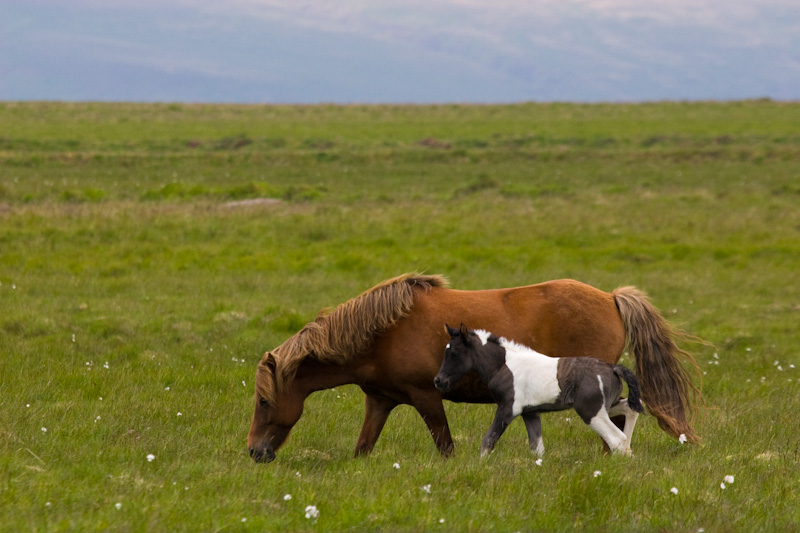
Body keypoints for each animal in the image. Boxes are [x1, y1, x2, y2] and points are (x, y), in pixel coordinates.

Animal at [434, 322, 648, 456]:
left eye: (454, 353)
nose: (438, 380)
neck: (505, 365)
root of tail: (612, 368)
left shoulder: (508, 409)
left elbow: (488, 441)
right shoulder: (531, 413)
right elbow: (537, 448)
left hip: (590, 411)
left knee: (616, 438)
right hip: (606, 406)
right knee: (630, 411)